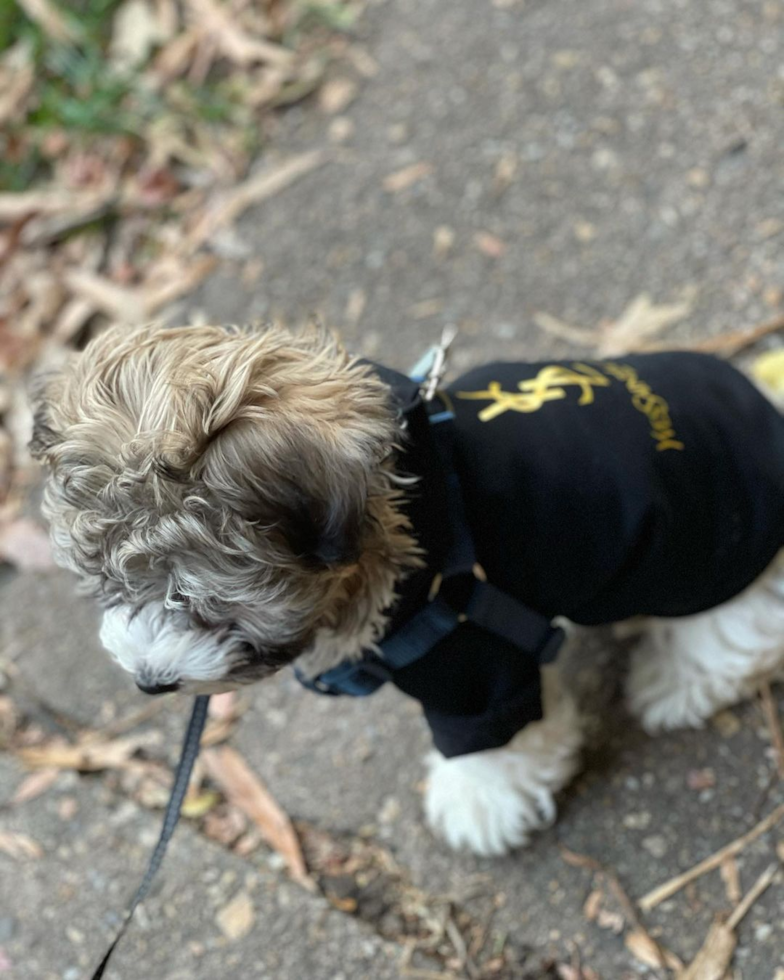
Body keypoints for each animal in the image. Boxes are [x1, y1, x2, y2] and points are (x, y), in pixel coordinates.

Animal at [27, 326, 784, 852]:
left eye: (197, 600)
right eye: (103, 585)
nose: (148, 682)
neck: (421, 502)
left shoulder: (467, 656)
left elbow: (488, 739)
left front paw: (477, 802)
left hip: (703, 552)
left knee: (741, 628)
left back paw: (675, 681)